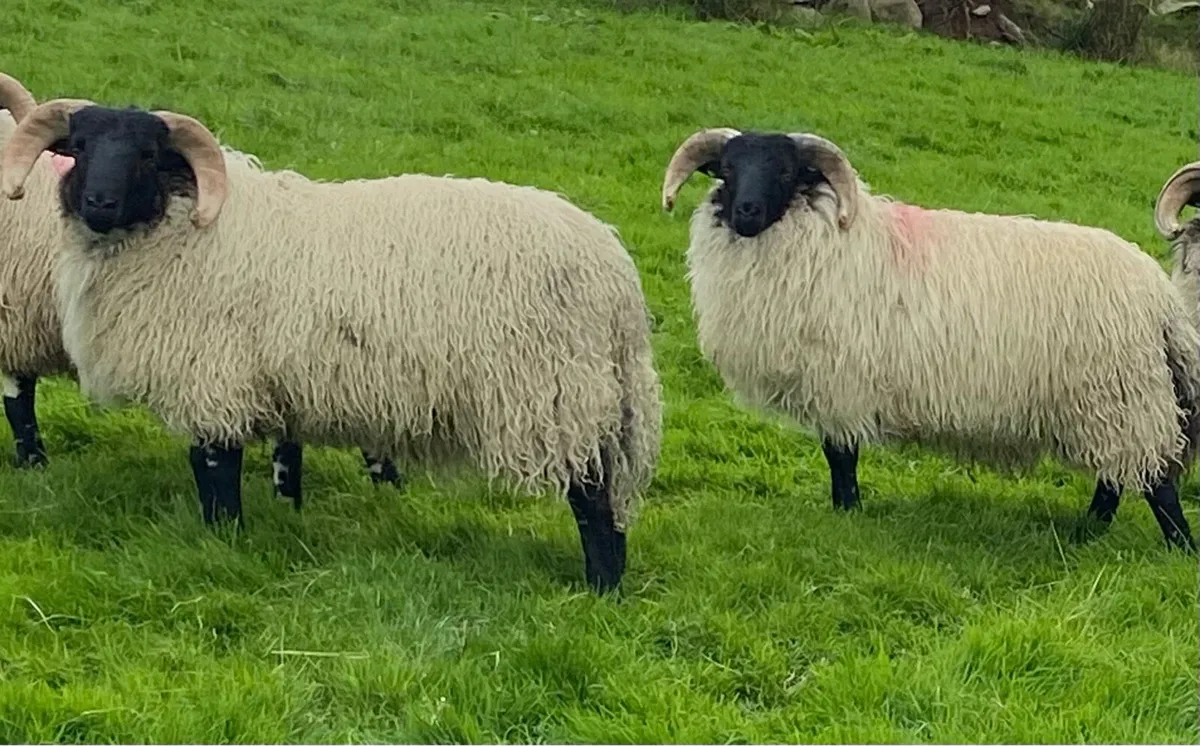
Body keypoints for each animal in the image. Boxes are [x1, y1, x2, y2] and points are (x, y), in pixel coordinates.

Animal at [1, 99, 662, 593]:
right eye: (78, 146)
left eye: (146, 153)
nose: (99, 202)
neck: (181, 229)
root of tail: (616, 275)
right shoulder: (272, 384)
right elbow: (279, 464)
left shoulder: (213, 380)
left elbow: (213, 471)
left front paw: (223, 540)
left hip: (556, 392)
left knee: (594, 497)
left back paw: (600, 589)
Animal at [660, 127, 1200, 551]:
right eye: (726, 170)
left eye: (787, 172)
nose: (747, 212)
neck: (831, 241)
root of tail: (1159, 297)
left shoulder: (837, 382)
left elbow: (841, 458)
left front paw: (847, 513)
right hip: (1110, 404)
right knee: (1117, 477)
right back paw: (1087, 533)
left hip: (1119, 394)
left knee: (1154, 481)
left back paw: (1178, 548)